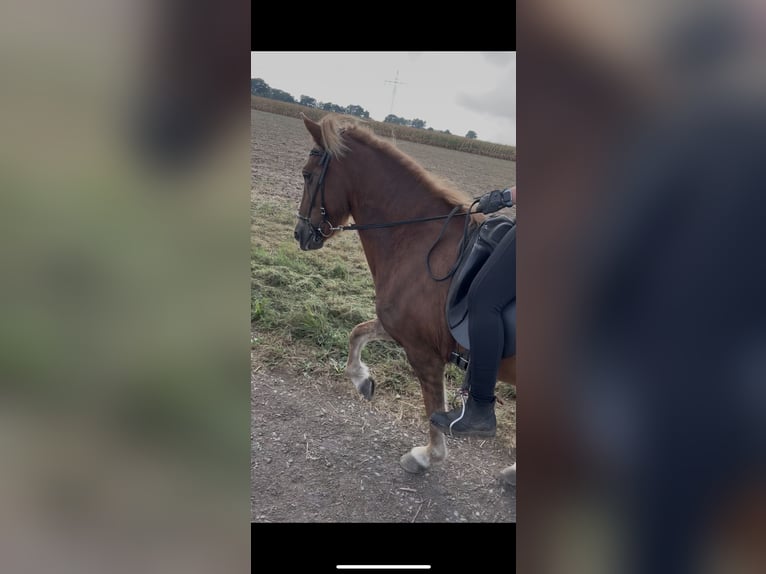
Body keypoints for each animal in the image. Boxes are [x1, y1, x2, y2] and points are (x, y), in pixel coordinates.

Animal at [293, 112, 516, 475]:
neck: (417, 239)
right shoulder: (400, 327)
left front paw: (427, 455)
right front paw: (362, 380)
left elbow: (432, 407)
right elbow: (357, 333)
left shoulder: (423, 352)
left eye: (307, 174)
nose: (300, 233)